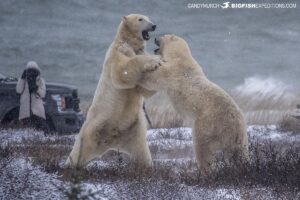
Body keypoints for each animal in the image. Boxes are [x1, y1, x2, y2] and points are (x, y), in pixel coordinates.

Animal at [65, 13, 159, 167]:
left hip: (133, 130)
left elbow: (143, 89)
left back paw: (147, 166)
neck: (127, 41)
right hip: (92, 127)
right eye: (140, 19)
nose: (153, 25)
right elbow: (123, 72)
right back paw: (70, 164)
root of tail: (110, 142)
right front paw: (154, 61)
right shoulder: (117, 53)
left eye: (149, 18)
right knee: (79, 149)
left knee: (142, 153)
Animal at [138, 34, 248, 170]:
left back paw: (203, 168)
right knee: (240, 153)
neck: (180, 56)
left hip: (207, 125)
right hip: (241, 137)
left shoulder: (173, 70)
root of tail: (234, 128)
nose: (155, 38)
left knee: (202, 148)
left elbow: (153, 78)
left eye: (163, 36)